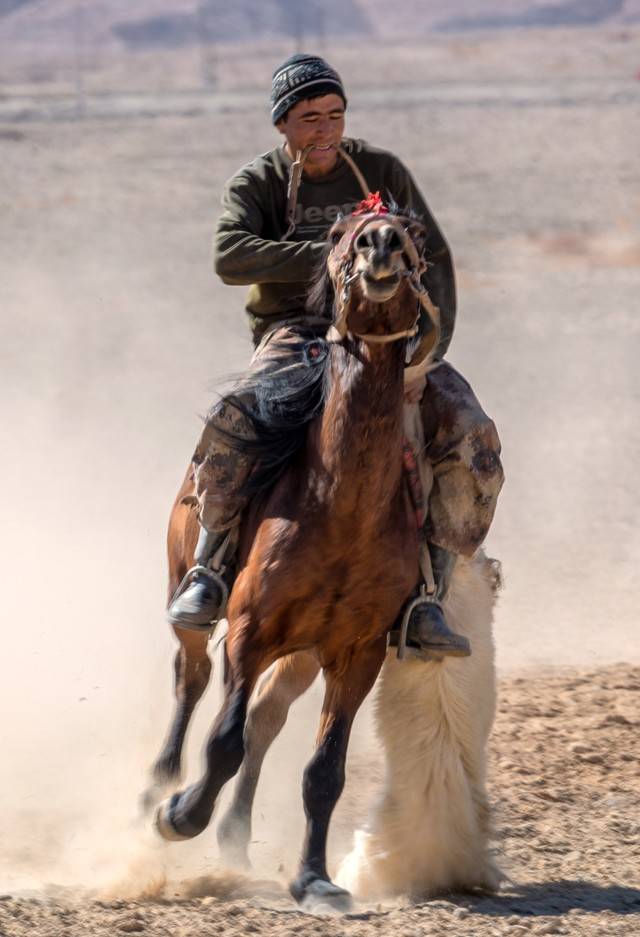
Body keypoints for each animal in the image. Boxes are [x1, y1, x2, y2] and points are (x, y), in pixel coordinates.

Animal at [152, 208, 438, 912]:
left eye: (412, 231)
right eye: (338, 237)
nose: (380, 242)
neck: (341, 506)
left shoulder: (356, 655)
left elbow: (323, 772)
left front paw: (315, 880)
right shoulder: (249, 634)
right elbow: (222, 743)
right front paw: (180, 815)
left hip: (303, 654)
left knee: (267, 717)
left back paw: (234, 834)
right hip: (188, 596)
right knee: (191, 675)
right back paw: (162, 783)